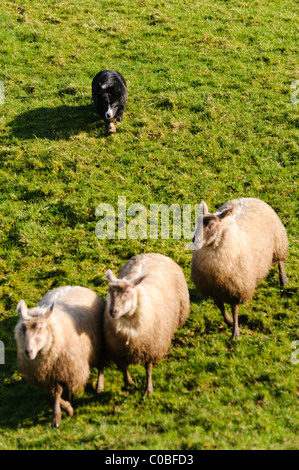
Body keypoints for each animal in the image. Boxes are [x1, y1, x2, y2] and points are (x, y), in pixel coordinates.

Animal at [14, 284, 105, 428]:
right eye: (23, 328)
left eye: (40, 328)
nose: (28, 352)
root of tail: (73, 285)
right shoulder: (47, 376)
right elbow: (53, 393)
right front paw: (67, 409)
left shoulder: (67, 369)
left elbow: (58, 392)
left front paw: (59, 415)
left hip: (99, 345)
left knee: (101, 366)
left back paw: (99, 387)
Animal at [103, 253, 190, 396]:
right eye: (110, 292)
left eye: (127, 293)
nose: (113, 311)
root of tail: (153, 253)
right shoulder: (119, 350)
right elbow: (124, 367)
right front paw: (128, 382)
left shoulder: (151, 347)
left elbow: (148, 369)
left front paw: (148, 389)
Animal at [191, 197, 290, 338]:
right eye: (197, 223)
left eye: (211, 225)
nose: (195, 240)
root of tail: (247, 198)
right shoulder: (213, 289)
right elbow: (221, 308)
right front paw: (229, 321)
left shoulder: (237, 286)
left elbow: (235, 309)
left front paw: (235, 332)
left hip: (278, 242)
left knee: (280, 261)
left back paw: (284, 281)